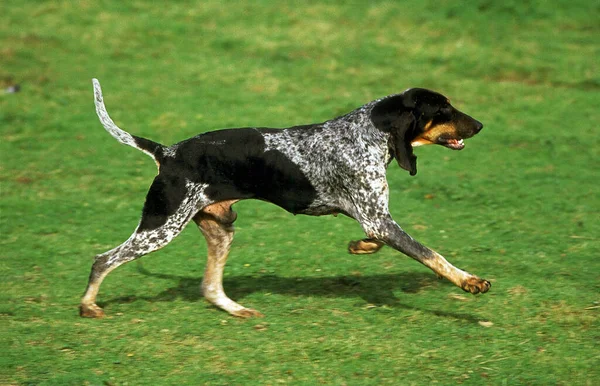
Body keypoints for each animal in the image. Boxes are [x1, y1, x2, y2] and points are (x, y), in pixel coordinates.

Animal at [81, 79, 492, 320]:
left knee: (210, 287)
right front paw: (469, 281)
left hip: (221, 230)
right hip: (160, 227)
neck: (370, 132)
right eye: (443, 109)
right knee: (104, 259)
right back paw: (88, 306)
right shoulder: (379, 219)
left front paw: (359, 247)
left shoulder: (375, 220)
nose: (480, 126)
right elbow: (432, 255)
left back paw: (236, 309)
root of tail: (167, 153)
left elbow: (375, 240)